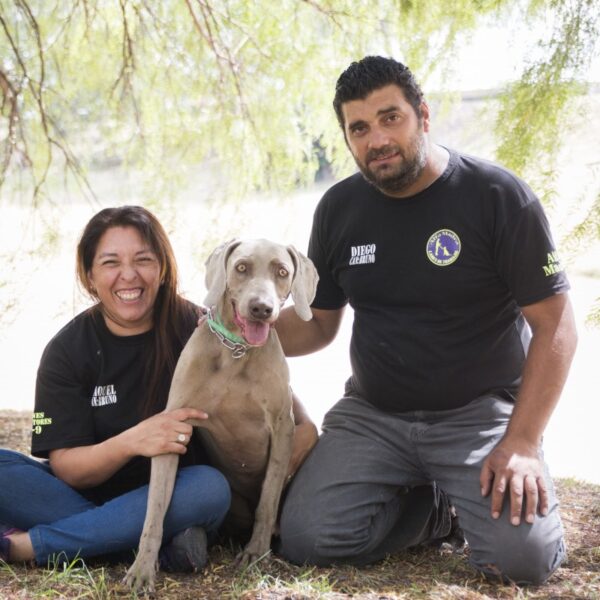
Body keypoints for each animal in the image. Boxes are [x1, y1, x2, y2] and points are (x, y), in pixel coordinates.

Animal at [125, 238, 318, 592]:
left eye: (282, 272)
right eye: (241, 267)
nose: (261, 308)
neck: (237, 351)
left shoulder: (283, 428)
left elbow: (267, 501)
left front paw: (256, 552)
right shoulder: (173, 426)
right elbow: (155, 510)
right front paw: (142, 569)